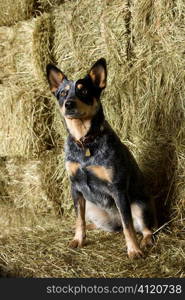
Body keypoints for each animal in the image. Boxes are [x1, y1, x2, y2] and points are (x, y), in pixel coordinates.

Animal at [46, 58, 155, 258]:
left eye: (84, 91)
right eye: (63, 93)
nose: (68, 104)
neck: (85, 141)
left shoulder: (118, 188)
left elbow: (128, 226)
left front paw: (134, 250)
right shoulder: (75, 187)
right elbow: (78, 219)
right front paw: (78, 239)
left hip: (139, 206)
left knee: (141, 228)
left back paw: (145, 241)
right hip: (91, 207)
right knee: (102, 225)